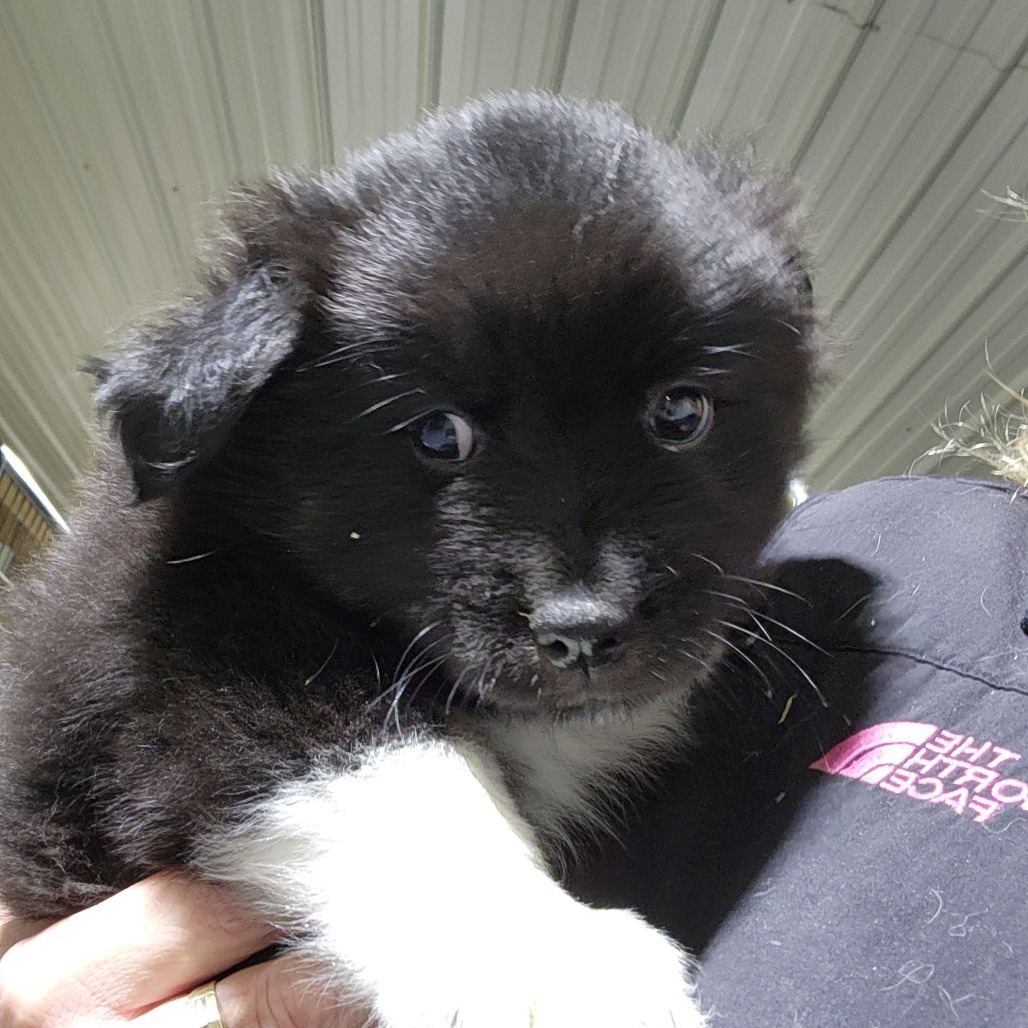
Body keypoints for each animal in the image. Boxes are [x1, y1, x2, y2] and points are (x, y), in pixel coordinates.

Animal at [0, 92, 818, 1023]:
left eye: (681, 414)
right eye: (437, 433)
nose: (584, 632)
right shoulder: (158, 682)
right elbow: (393, 773)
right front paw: (553, 963)